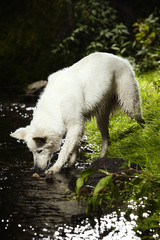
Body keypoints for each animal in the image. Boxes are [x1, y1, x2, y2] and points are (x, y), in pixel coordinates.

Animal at [10, 52, 145, 176]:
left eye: (39, 151)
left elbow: (64, 150)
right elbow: (74, 146)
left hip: (130, 107)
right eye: (32, 152)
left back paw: (146, 132)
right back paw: (100, 158)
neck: (56, 105)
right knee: (107, 140)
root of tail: (120, 58)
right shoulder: (79, 125)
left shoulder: (75, 125)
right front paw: (71, 164)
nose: (36, 170)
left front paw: (55, 168)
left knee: (141, 120)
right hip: (101, 118)